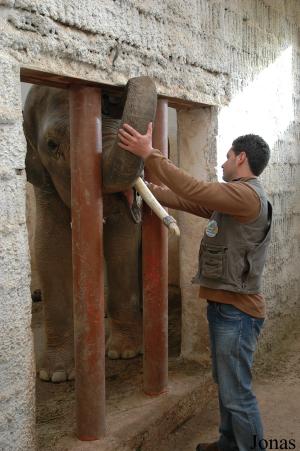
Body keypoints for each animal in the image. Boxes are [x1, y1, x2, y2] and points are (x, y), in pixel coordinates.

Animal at [23, 76, 157, 384]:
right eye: (52, 145)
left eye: (117, 119)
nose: (128, 81)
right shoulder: (43, 182)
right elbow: (49, 244)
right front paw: (55, 375)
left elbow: (122, 240)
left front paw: (125, 353)